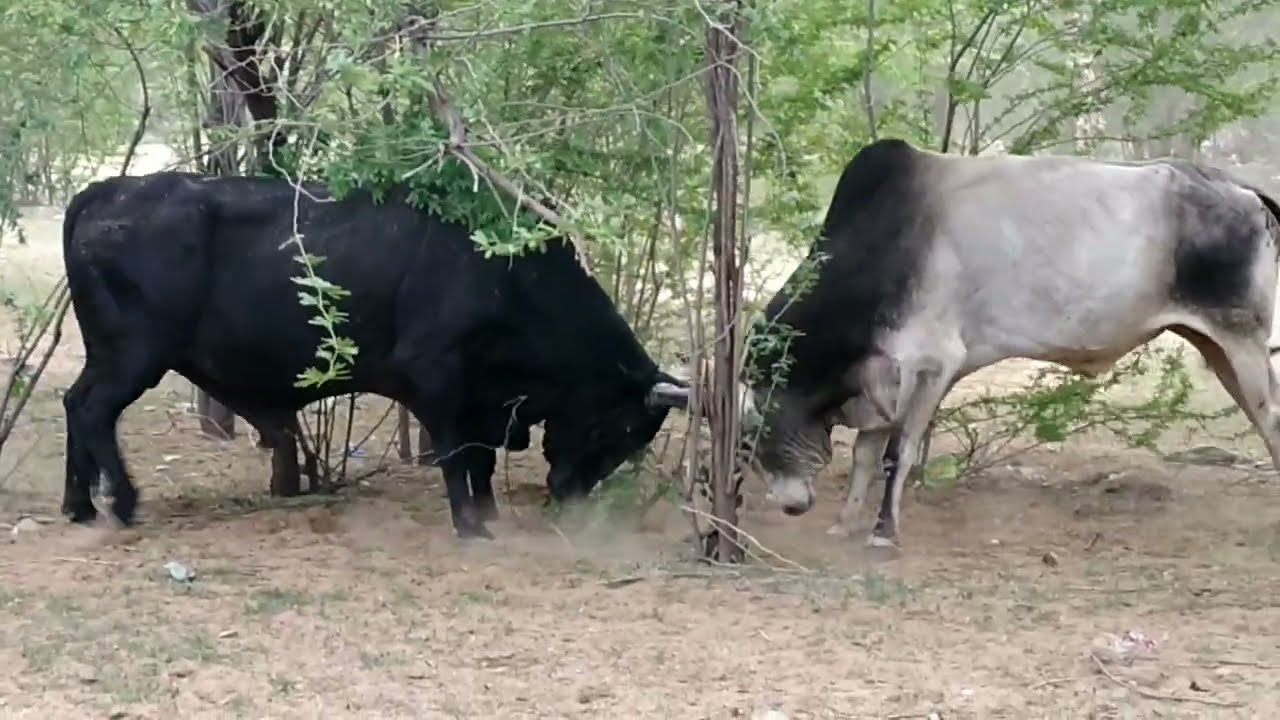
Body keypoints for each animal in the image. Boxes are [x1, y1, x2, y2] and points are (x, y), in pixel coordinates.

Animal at [60, 171, 691, 538]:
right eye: (621, 424)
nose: (569, 492)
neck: (509, 273)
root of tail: (107, 190)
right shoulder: (439, 377)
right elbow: (459, 455)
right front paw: (470, 526)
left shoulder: (481, 398)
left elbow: (481, 458)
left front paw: (485, 512)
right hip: (136, 354)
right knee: (92, 412)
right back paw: (122, 502)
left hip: (108, 355)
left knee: (74, 404)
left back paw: (79, 505)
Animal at [736, 137, 1280, 549]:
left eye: (757, 429)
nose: (790, 505)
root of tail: (1243, 189)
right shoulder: (887, 375)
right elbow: (866, 454)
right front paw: (846, 523)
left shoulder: (935, 364)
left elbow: (898, 453)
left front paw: (883, 531)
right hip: (1215, 344)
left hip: (1242, 340)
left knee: (1271, 420)